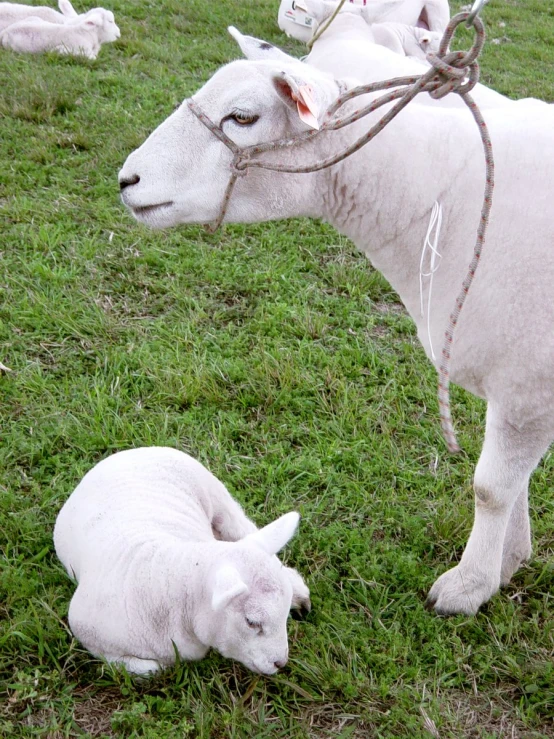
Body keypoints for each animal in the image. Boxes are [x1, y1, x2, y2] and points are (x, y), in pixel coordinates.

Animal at [53, 446, 308, 676]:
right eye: (251, 622)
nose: (280, 663)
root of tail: (131, 451)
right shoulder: (87, 633)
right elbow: (148, 669)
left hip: (216, 495)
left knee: (242, 529)